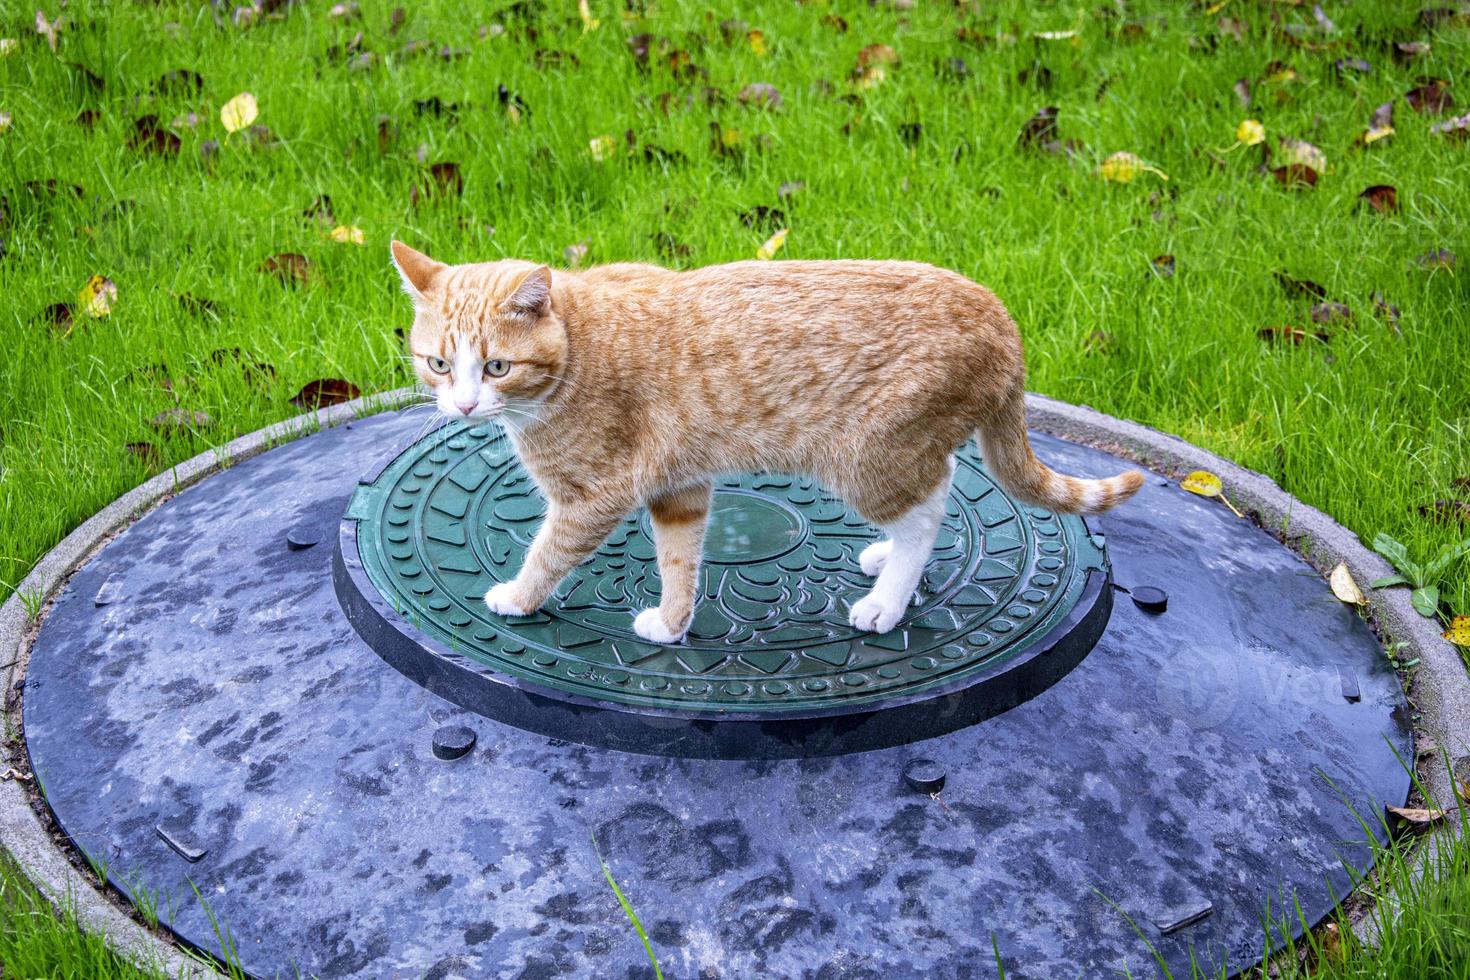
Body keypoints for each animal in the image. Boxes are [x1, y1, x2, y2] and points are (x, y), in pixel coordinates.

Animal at [388, 240, 1134, 643]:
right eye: (437, 363)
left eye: (495, 367)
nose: (462, 404)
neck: (582, 340)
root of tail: (1000, 316)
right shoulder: (680, 487)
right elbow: (680, 561)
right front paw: (674, 623)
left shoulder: (592, 497)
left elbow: (548, 554)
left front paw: (517, 597)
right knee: (939, 487)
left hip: (867, 458)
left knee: (929, 509)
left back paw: (887, 600)